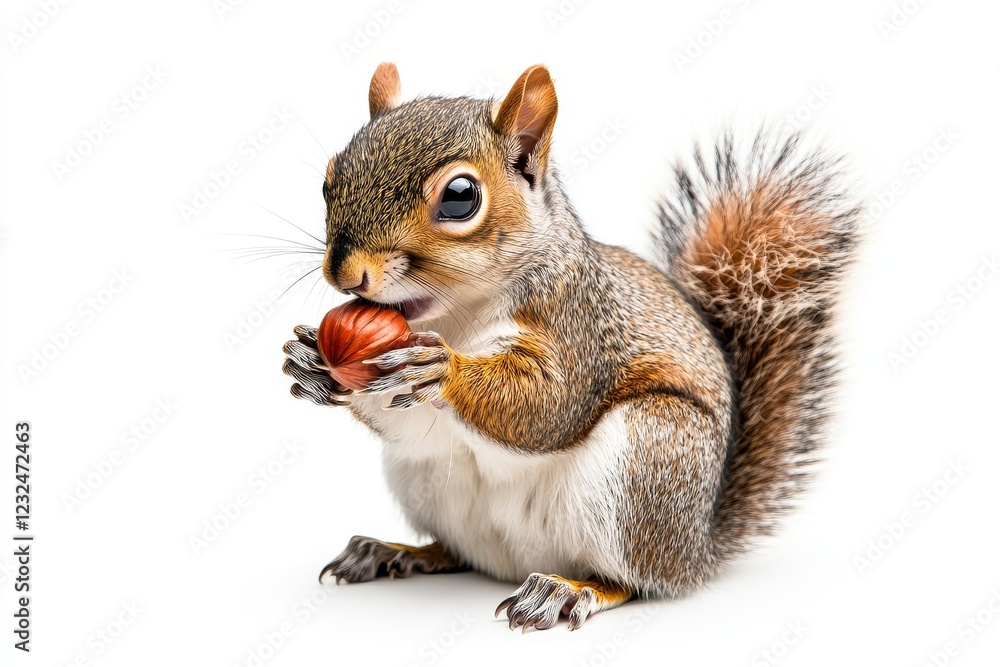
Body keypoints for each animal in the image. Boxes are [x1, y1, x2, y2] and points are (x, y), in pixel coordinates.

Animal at [281, 62, 860, 632]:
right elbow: (403, 417)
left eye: (460, 197)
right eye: (329, 182)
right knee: (457, 552)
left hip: (646, 461)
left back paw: (567, 590)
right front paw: (311, 362)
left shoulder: (579, 326)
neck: (456, 317)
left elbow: (549, 406)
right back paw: (394, 551)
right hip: (423, 479)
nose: (345, 273)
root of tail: (697, 550)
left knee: (634, 579)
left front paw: (441, 370)